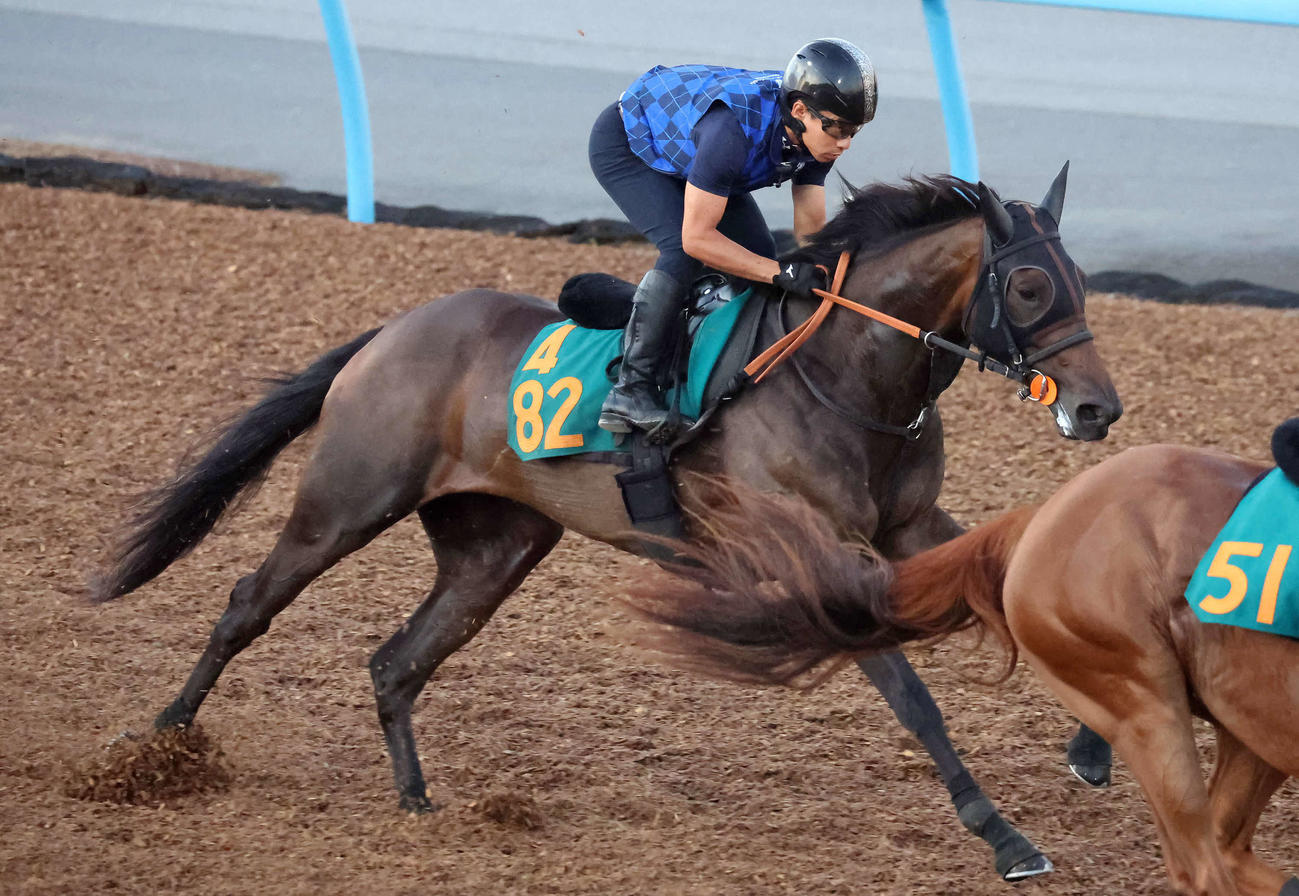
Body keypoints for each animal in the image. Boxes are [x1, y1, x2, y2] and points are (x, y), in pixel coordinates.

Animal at [91, 166, 1121, 882]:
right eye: (1028, 288)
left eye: (1080, 279)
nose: (1097, 410)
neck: (843, 372)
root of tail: (391, 331)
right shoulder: (821, 554)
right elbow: (913, 698)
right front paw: (1004, 838)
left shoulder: (906, 527)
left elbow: (1010, 592)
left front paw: (1092, 745)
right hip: (345, 503)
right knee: (247, 603)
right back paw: (161, 746)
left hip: (496, 547)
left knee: (396, 661)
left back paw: (415, 799)